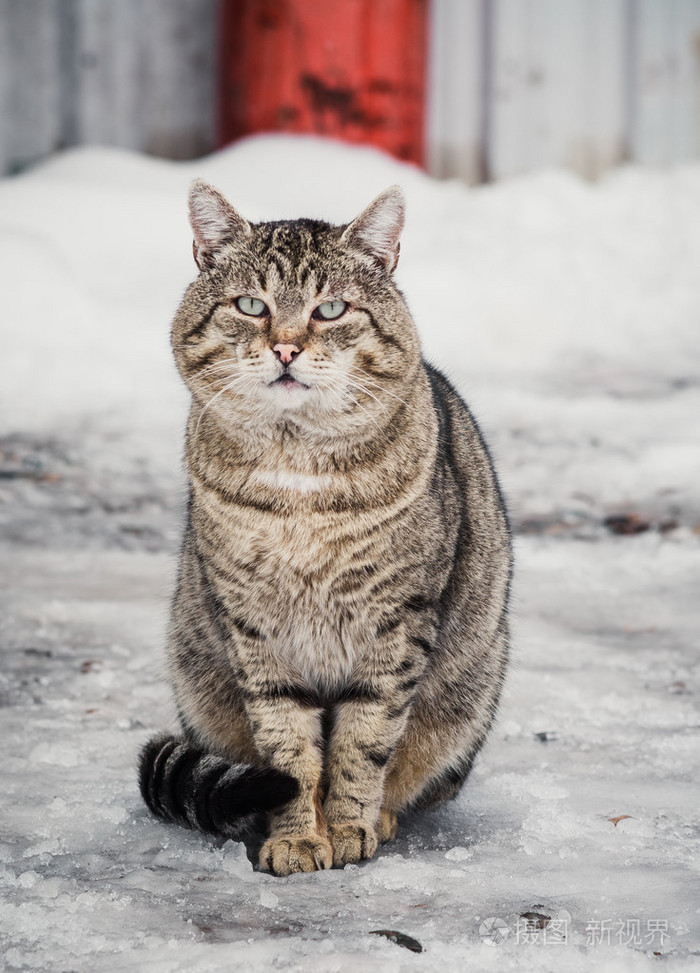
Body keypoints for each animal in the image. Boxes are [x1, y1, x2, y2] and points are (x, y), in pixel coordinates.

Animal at [137, 178, 512, 876]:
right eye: (251, 304)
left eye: (331, 309)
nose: (286, 347)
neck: (298, 480)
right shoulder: (255, 630)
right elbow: (288, 749)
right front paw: (295, 837)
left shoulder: (397, 623)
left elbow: (364, 743)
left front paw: (347, 827)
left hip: (470, 689)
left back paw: (384, 816)